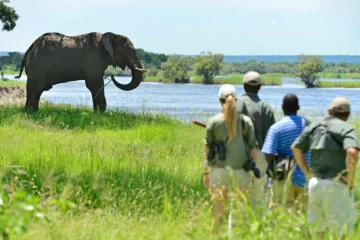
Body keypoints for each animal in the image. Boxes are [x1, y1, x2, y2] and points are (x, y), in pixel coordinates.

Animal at [14, 31, 146, 112]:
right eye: (128, 50)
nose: (112, 75)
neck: (108, 35)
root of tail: (29, 49)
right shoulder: (94, 58)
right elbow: (95, 84)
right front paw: (100, 113)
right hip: (38, 65)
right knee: (36, 89)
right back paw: (30, 113)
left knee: (37, 91)